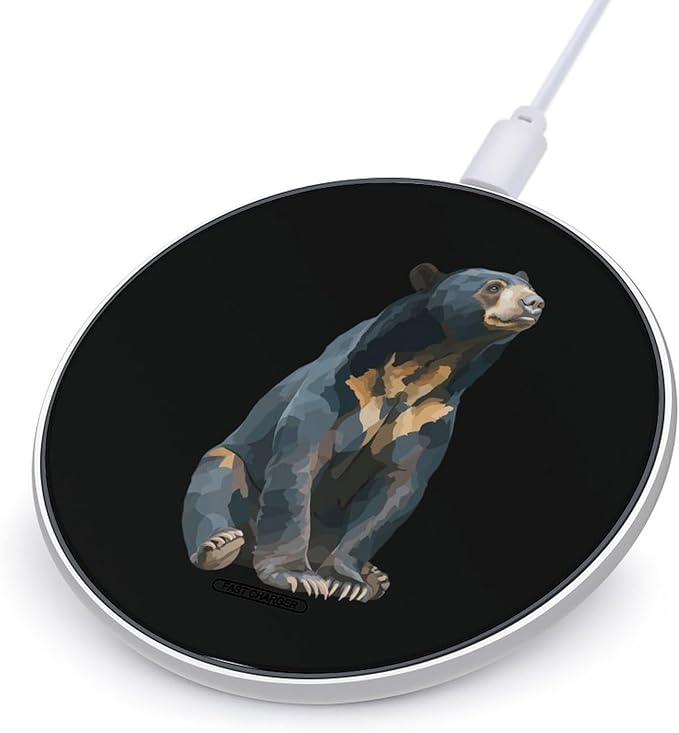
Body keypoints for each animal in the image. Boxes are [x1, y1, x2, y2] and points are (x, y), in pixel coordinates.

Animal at [182, 264, 545, 602]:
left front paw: (347, 583)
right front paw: (297, 576)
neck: (428, 363)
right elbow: (299, 459)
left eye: (529, 287)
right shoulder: (340, 384)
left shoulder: (429, 414)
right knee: (217, 480)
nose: (534, 303)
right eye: (493, 287)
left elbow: (397, 485)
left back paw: (374, 577)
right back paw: (221, 545)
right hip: (228, 463)